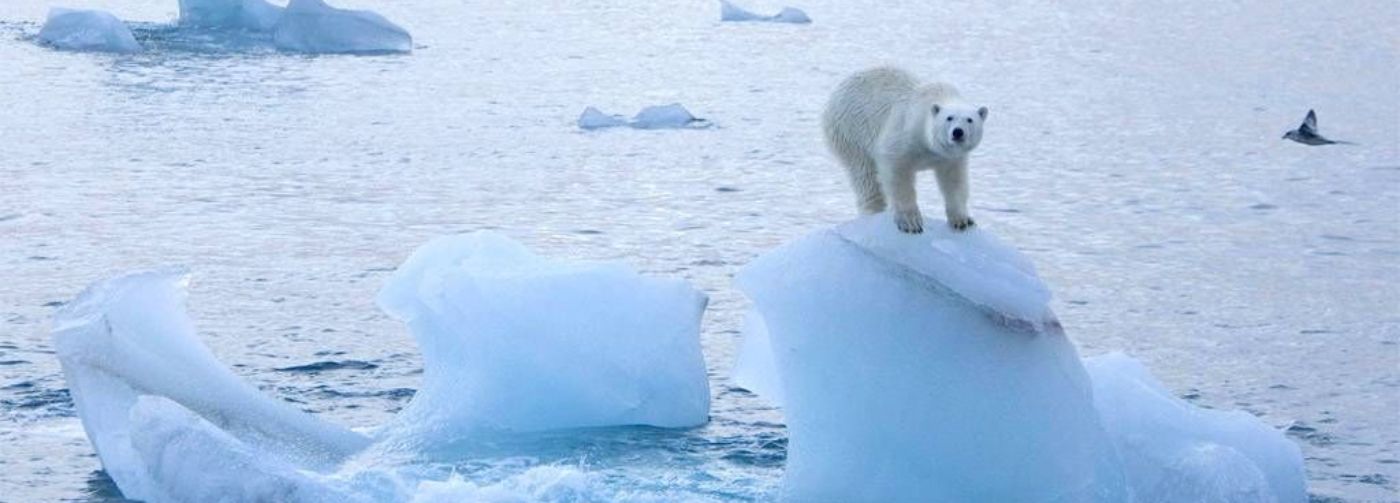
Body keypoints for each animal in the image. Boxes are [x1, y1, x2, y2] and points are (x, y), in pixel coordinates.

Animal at [817, 65, 985, 236]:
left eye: (969, 120)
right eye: (949, 118)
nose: (958, 132)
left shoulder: (950, 157)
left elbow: (954, 181)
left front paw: (962, 220)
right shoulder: (904, 132)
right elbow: (896, 172)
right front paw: (911, 222)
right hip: (851, 131)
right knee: (865, 175)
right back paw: (874, 212)